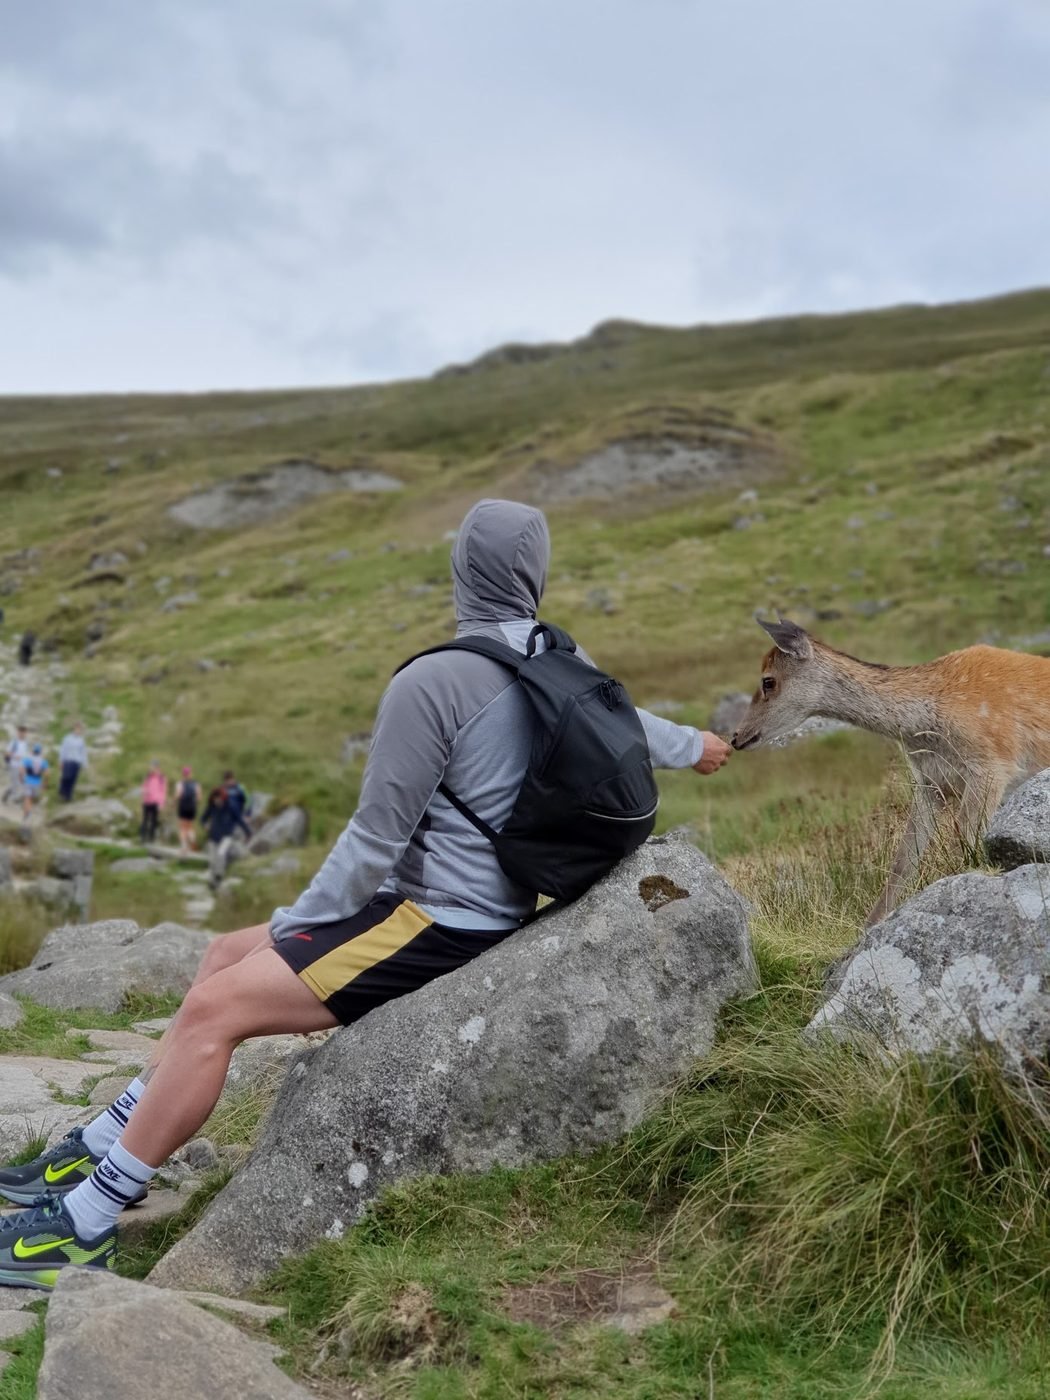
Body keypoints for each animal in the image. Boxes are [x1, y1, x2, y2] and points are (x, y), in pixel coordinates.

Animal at [731, 618, 1050, 926]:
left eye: (768, 681)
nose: (735, 737)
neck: (925, 729)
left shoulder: (992, 767)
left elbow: (968, 839)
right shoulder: (930, 783)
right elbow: (903, 858)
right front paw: (870, 924)